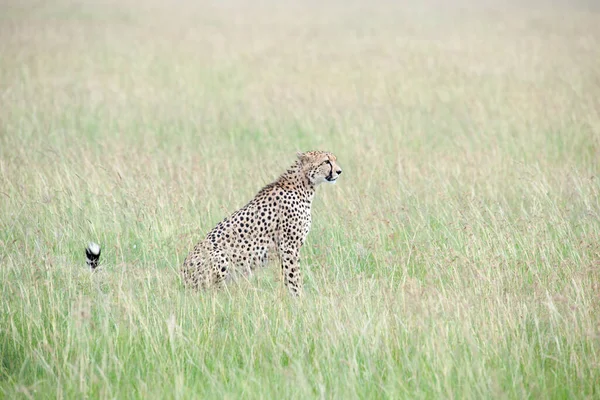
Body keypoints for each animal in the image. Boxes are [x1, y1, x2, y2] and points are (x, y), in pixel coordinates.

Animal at [180, 152, 342, 296]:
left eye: (334, 160)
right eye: (326, 161)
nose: (339, 171)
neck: (304, 185)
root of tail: (183, 276)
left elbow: (288, 275)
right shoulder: (288, 246)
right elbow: (293, 276)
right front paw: (299, 298)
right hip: (220, 255)